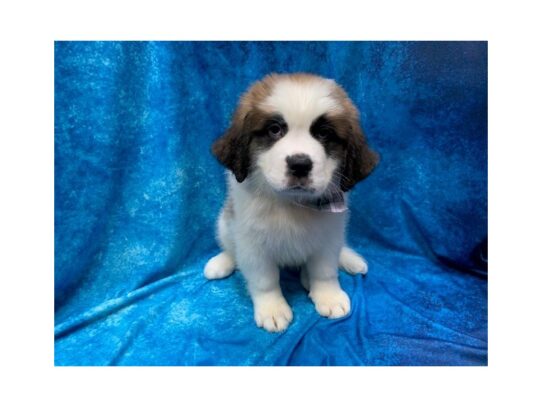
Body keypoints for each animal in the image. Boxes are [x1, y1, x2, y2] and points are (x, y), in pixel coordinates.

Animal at [206, 73, 380, 334]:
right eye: (274, 129)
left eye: (324, 134)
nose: (300, 164)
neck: (293, 204)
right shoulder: (252, 243)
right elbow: (264, 279)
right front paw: (272, 308)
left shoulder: (328, 238)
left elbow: (325, 271)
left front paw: (329, 296)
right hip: (224, 222)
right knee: (230, 246)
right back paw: (222, 262)